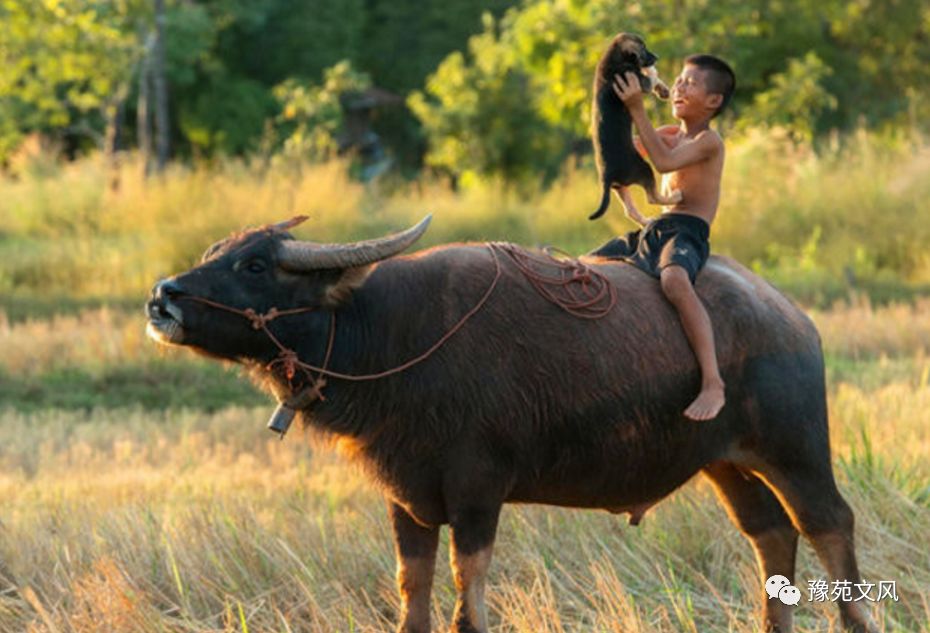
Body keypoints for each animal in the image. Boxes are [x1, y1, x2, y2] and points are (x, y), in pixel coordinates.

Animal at [143, 215, 872, 628]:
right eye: (214, 251)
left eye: (254, 263)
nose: (162, 296)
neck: (392, 336)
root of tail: (791, 317)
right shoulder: (405, 498)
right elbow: (412, 601)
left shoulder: (477, 492)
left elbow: (468, 603)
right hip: (725, 462)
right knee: (771, 533)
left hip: (796, 450)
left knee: (829, 523)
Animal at [592, 35, 676, 222]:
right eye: (643, 48)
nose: (657, 57)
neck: (615, 58)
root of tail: (607, 176)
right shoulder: (640, 82)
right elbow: (651, 75)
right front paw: (652, 70)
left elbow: (653, 78)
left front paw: (663, 90)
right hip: (643, 168)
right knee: (652, 198)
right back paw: (675, 197)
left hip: (620, 187)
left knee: (630, 211)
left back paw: (646, 222)